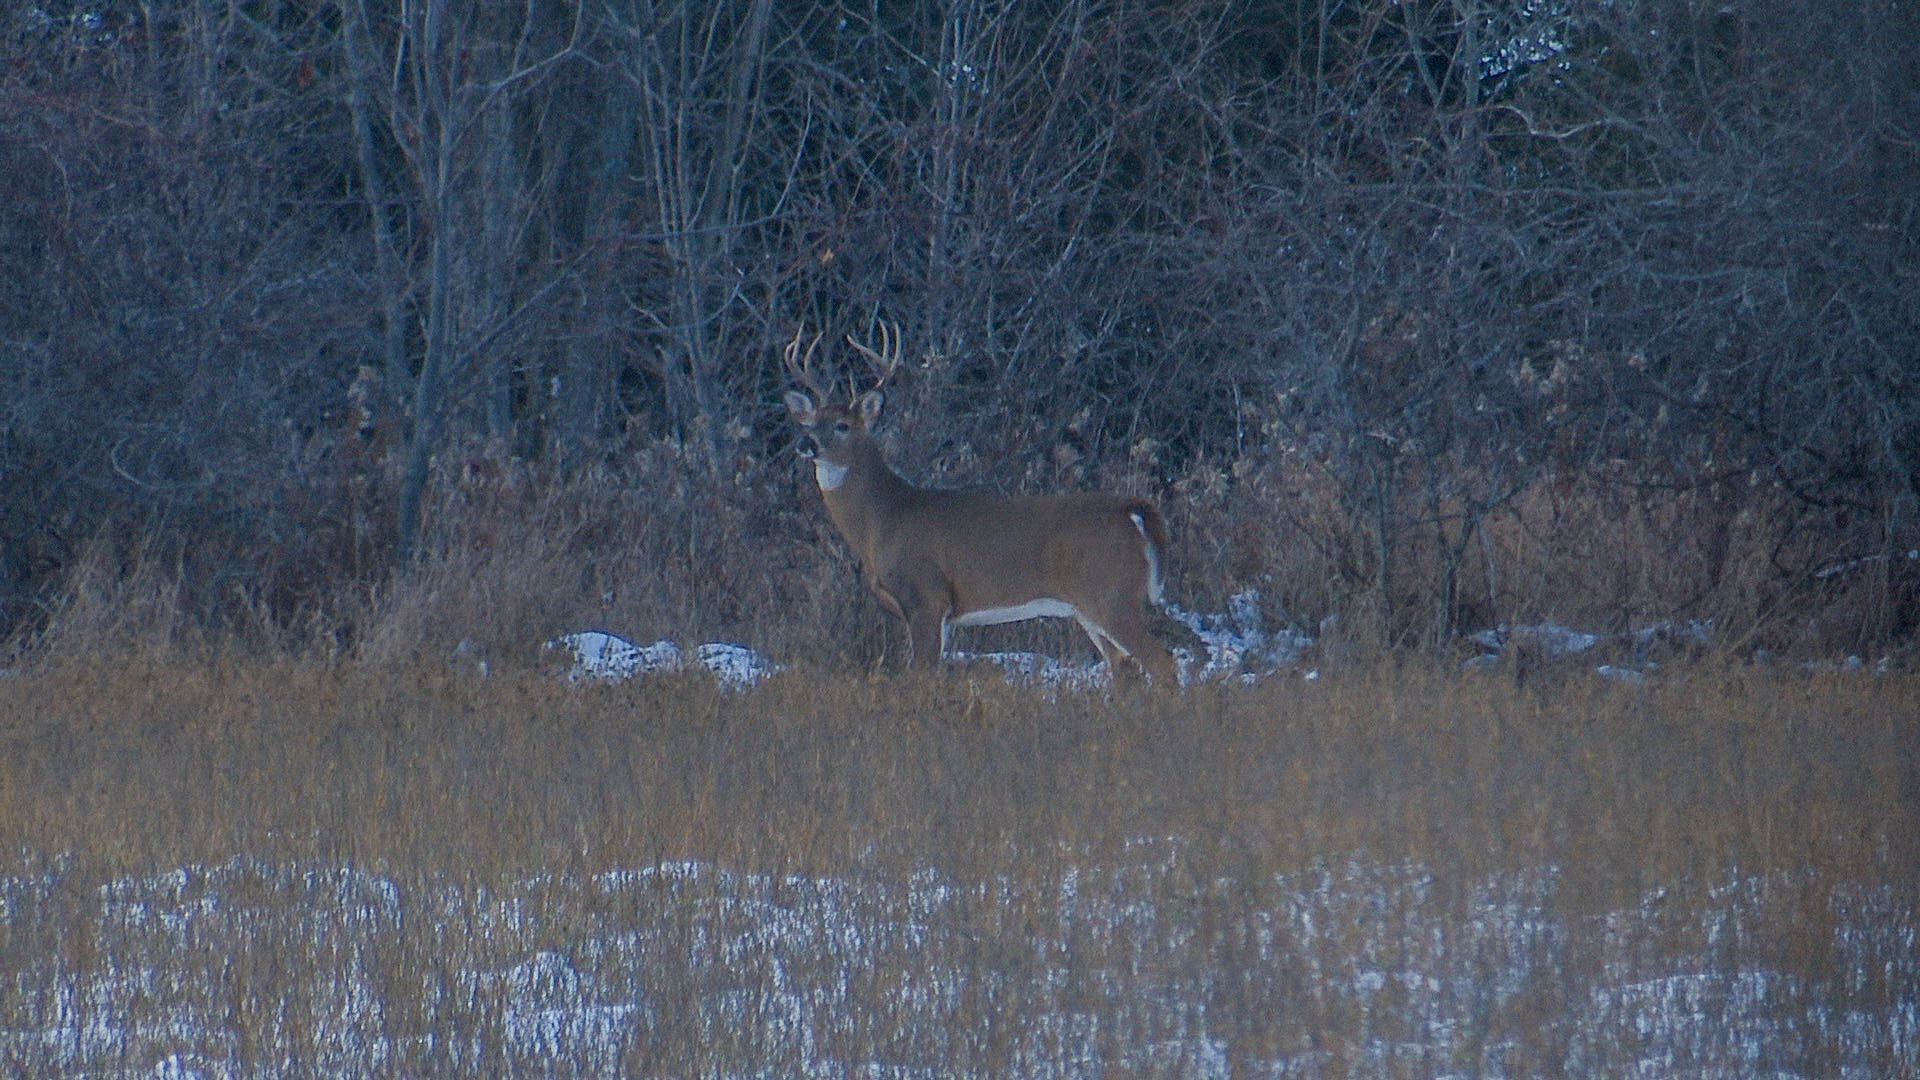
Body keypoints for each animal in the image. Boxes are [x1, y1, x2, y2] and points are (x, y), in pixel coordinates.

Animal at [782, 322, 1179, 684]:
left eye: (843, 425)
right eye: (811, 422)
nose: (805, 443)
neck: (884, 518)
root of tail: (1134, 511)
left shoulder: (928, 596)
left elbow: (920, 677)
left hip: (1111, 593)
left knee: (1163, 663)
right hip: (1089, 606)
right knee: (1126, 670)